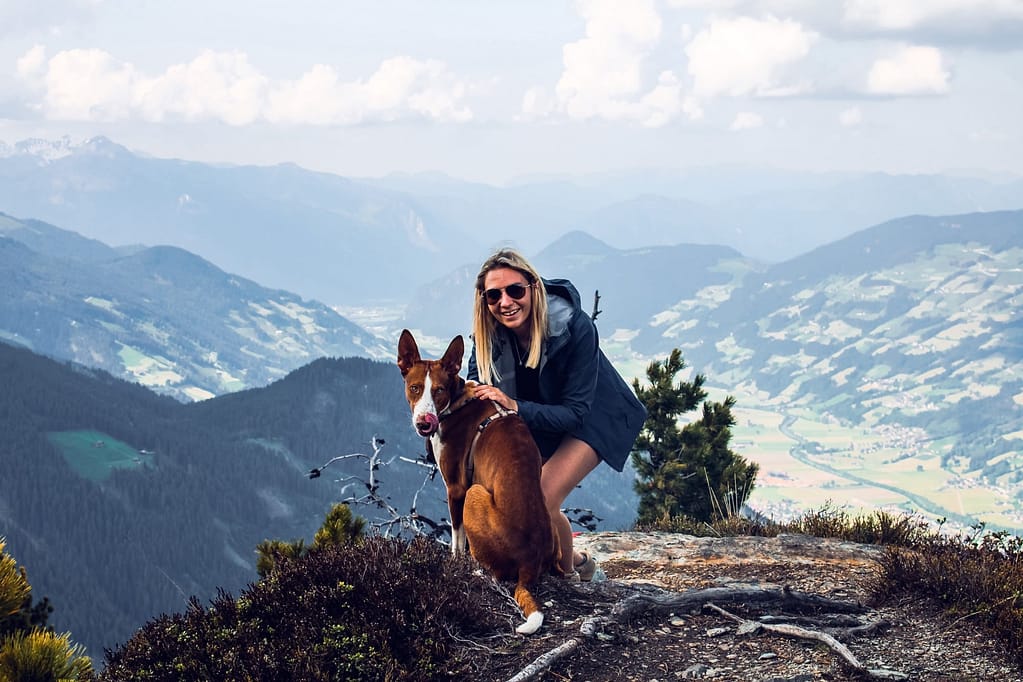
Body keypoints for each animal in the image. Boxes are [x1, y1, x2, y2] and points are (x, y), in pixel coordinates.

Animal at [396, 329, 560, 633]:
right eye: (415, 388)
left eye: (439, 390)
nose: (425, 423)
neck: (458, 401)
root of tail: (529, 564)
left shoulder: (456, 487)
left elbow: (456, 538)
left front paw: (455, 563)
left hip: (474, 492)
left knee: (493, 569)